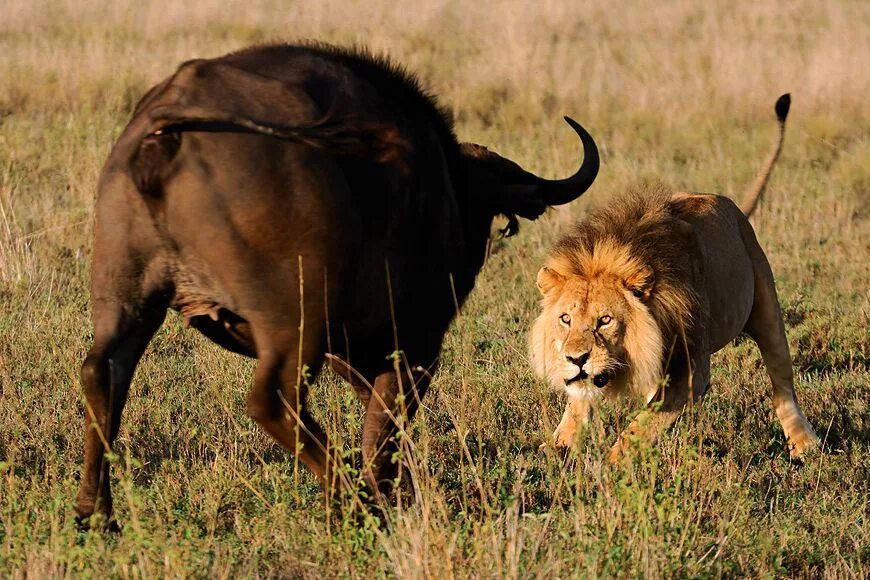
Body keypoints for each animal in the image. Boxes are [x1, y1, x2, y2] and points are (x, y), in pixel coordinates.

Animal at [76, 43, 600, 524]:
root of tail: (167, 126)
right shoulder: (414, 345)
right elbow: (384, 428)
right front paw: (389, 495)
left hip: (127, 299)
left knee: (102, 374)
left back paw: (96, 514)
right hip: (296, 321)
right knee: (273, 401)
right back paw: (355, 502)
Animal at [528, 94, 820, 462]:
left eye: (605, 320)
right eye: (565, 318)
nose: (576, 358)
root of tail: (731, 205)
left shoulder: (691, 370)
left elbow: (641, 426)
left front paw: (611, 465)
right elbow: (579, 405)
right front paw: (556, 449)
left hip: (766, 308)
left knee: (782, 383)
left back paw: (804, 445)